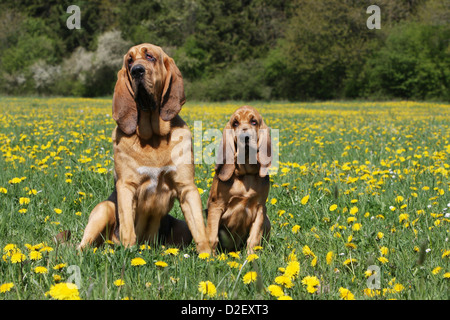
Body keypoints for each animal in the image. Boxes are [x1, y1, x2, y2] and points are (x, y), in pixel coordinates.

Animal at [77, 43, 211, 254]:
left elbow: (200, 230)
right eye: (129, 61)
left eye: (150, 56)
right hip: (104, 208)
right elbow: (127, 229)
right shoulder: (126, 187)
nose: (136, 71)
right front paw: (128, 253)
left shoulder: (187, 188)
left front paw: (208, 256)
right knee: (82, 245)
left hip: (180, 226)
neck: (153, 138)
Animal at [207, 106, 272, 254]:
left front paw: (251, 257)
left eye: (254, 121)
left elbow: (254, 239)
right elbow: (212, 237)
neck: (246, 175)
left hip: (267, 219)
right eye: (235, 123)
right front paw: (208, 257)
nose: (244, 137)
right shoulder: (215, 206)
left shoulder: (260, 208)